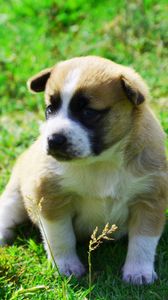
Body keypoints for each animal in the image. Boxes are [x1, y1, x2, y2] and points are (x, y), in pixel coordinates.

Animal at [0, 56, 167, 284]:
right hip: (15, 196)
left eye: (88, 112)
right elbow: (61, 237)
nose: (53, 139)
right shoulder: (51, 199)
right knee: (6, 213)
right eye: (50, 109)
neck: (102, 162)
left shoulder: (150, 199)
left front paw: (138, 272)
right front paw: (66, 267)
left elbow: (143, 241)